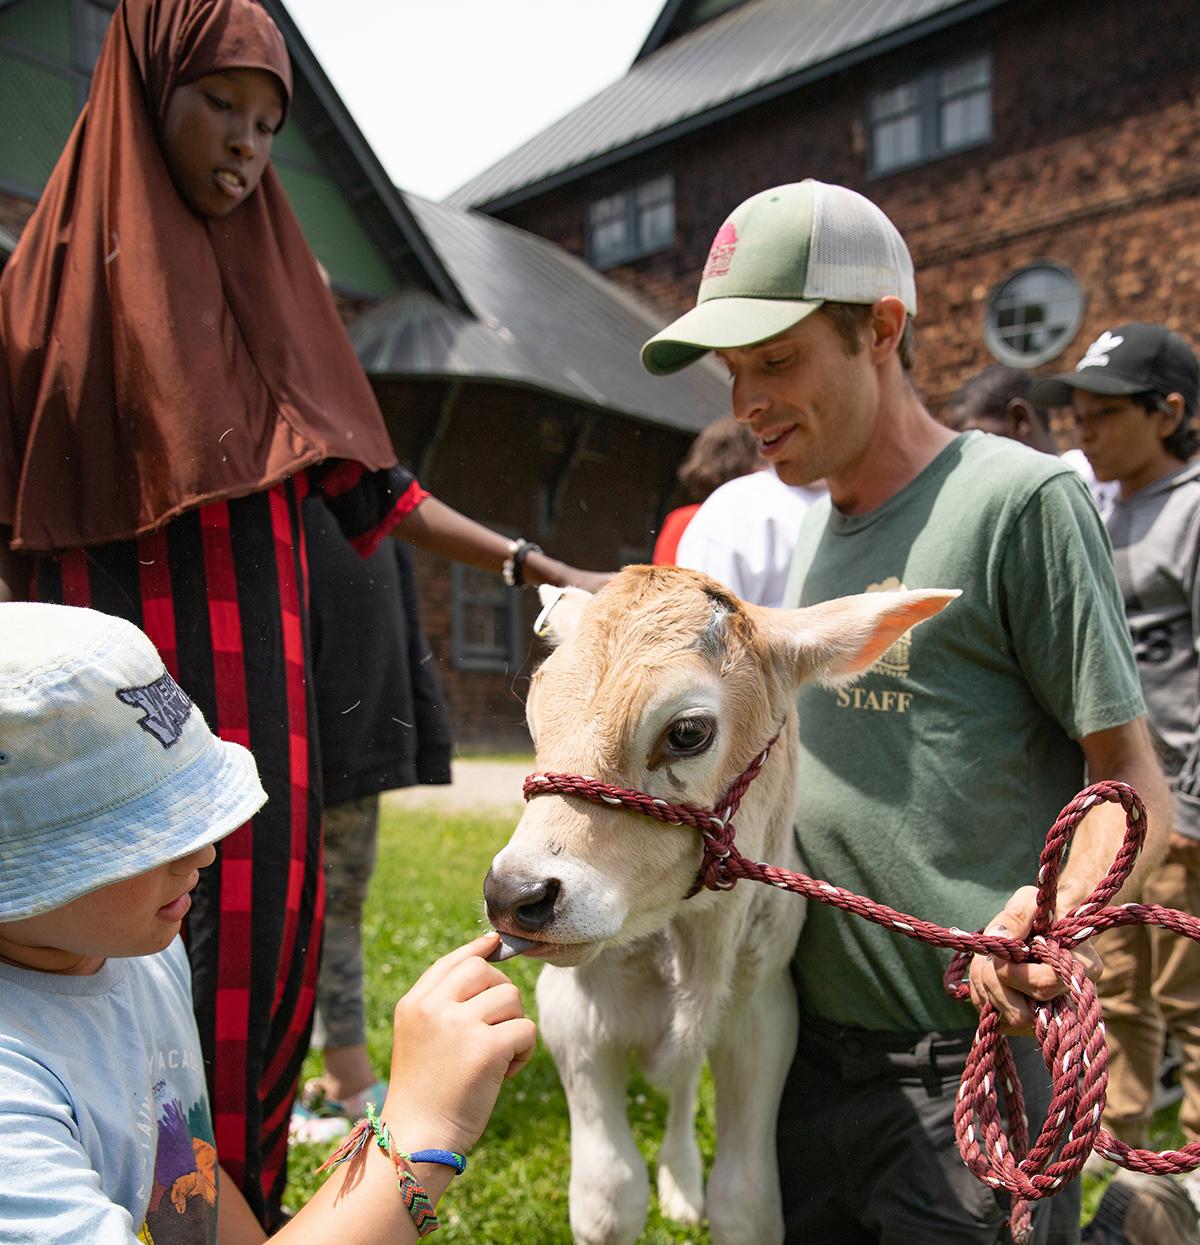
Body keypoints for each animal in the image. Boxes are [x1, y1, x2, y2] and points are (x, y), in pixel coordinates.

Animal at [483, 566, 955, 1245]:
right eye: (535, 715)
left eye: (688, 732)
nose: (513, 893)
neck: (695, 945)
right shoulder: (573, 1019)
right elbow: (609, 1196)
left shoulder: (763, 1018)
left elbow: (746, 1200)